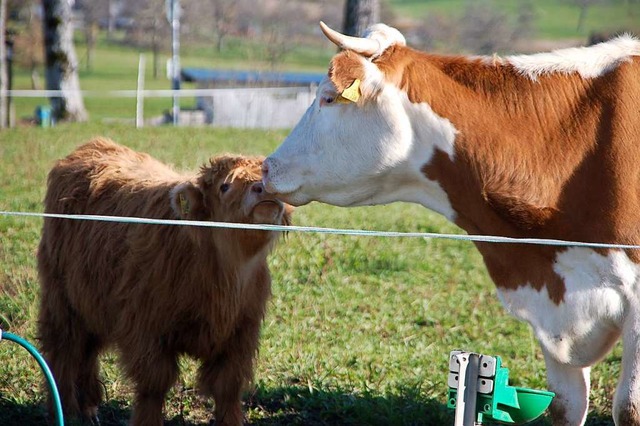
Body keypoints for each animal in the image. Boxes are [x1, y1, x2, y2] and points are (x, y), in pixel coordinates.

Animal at [37, 139, 292, 426]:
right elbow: (154, 385)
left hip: (91, 299)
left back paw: (89, 408)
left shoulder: (241, 333)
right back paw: (67, 410)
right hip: (61, 298)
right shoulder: (147, 328)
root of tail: (93, 145)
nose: (262, 190)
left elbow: (228, 386)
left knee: (87, 350)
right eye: (225, 186)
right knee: (64, 350)